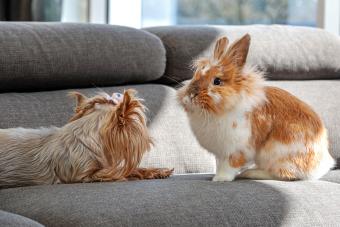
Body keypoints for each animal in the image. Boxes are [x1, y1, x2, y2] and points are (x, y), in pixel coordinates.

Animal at [178, 34, 334, 182]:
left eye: (217, 81)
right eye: (195, 75)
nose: (190, 95)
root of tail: (320, 167)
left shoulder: (236, 149)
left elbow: (230, 165)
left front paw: (220, 179)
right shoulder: (221, 152)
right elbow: (219, 164)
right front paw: (216, 176)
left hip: (276, 154)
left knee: (284, 175)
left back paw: (250, 173)